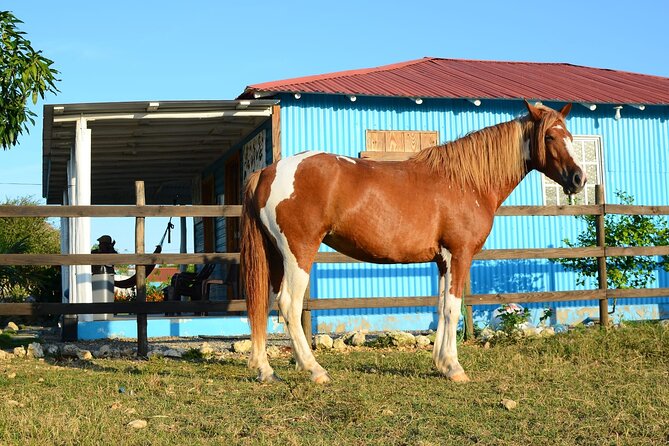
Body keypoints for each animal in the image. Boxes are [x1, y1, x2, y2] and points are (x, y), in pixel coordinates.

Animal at [240, 100, 585, 384]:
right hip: (298, 253)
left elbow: (443, 307)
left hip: (274, 256)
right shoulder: (460, 254)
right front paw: (455, 369)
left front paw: (442, 364)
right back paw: (314, 370)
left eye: (570, 135)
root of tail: (268, 172)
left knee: (265, 304)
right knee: (289, 304)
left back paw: (266, 370)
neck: (466, 182)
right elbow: (453, 310)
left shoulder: (444, 260)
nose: (579, 179)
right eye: (550, 137)